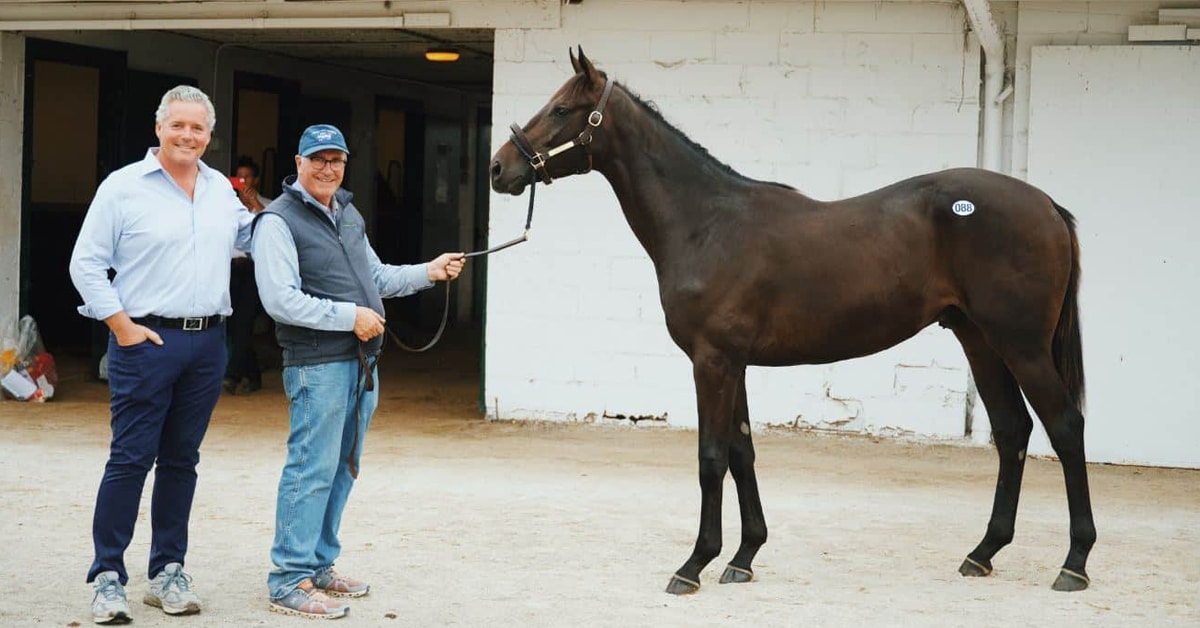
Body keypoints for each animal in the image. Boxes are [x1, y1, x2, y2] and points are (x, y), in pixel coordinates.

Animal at [487, 48, 1099, 595]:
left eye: (562, 109)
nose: (499, 167)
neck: (705, 222)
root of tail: (1046, 204)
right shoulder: (733, 363)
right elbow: (741, 453)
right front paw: (743, 556)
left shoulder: (712, 361)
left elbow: (711, 458)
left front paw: (694, 565)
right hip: (981, 340)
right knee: (1012, 430)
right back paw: (982, 552)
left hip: (1020, 345)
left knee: (1065, 427)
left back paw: (1074, 563)